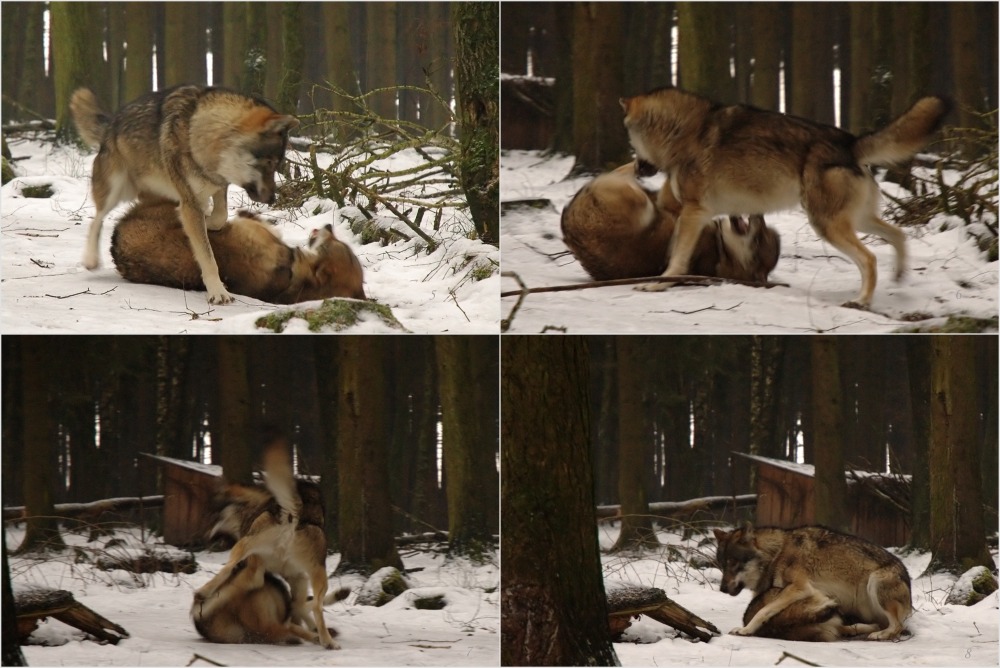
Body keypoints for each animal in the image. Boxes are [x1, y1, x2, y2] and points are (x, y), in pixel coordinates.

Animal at [70, 85, 300, 305]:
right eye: (269, 163)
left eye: (277, 165)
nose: (272, 199)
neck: (200, 134)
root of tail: (111, 123)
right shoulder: (191, 200)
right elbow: (207, 256)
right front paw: (218, 292)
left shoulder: (217, 184)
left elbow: (220, 215)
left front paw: (208, 221)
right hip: (115, 189)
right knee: (98, 218)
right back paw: (91, 259)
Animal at [194, 440, 339, 649]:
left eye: (213, 516)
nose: (203, 536)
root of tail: (294, 513)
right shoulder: (298, 577)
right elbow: (299, 607)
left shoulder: (292, 576)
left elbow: (298, 608)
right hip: (313, 572)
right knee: (316, 606)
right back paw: (327, 641)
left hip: (249, 548)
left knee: (240, 573)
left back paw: (203, 593)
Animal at [560, 162, 781, 283]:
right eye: (764, 232)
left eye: (759, 240)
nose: (760, 216)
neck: (723, 249)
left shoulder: (671, 205)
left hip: (638, 203)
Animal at [620, 87, 951, 307]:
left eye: (631, 143)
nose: (636, 168)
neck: (683, 133)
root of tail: (851, 143)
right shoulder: (686, 212)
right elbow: (672, 248)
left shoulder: (693, 212)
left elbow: (677, 256)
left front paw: (657, 285)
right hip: (855, 221)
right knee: (898, 236)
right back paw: (898, 277)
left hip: (827, 226)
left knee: (869, 259)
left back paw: (861, 301)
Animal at [713, 525, 912, 641]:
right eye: (722, 565)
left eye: (733, 563)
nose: (722, 589)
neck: (776, 554)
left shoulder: (800, 588)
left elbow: (762, 611)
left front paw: (745, 630)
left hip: (875, 582)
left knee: (897, 626)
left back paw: (879, 635)